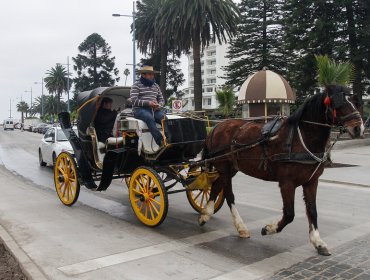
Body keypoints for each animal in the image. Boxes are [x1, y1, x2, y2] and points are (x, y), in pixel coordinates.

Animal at [199, 85, 364, 256]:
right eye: (338, 104)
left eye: (356, 102)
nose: (358, 128)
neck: (300, 137)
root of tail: (216, 127)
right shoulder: (287, 183)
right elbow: (289, 214)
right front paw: (269, 229)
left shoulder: (311, 181)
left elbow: (312, 210)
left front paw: (318, 242)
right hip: (224, 167)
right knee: (229, 195)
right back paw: (240, 226)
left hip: (231, 168)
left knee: (216, 186)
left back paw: (206, 214)